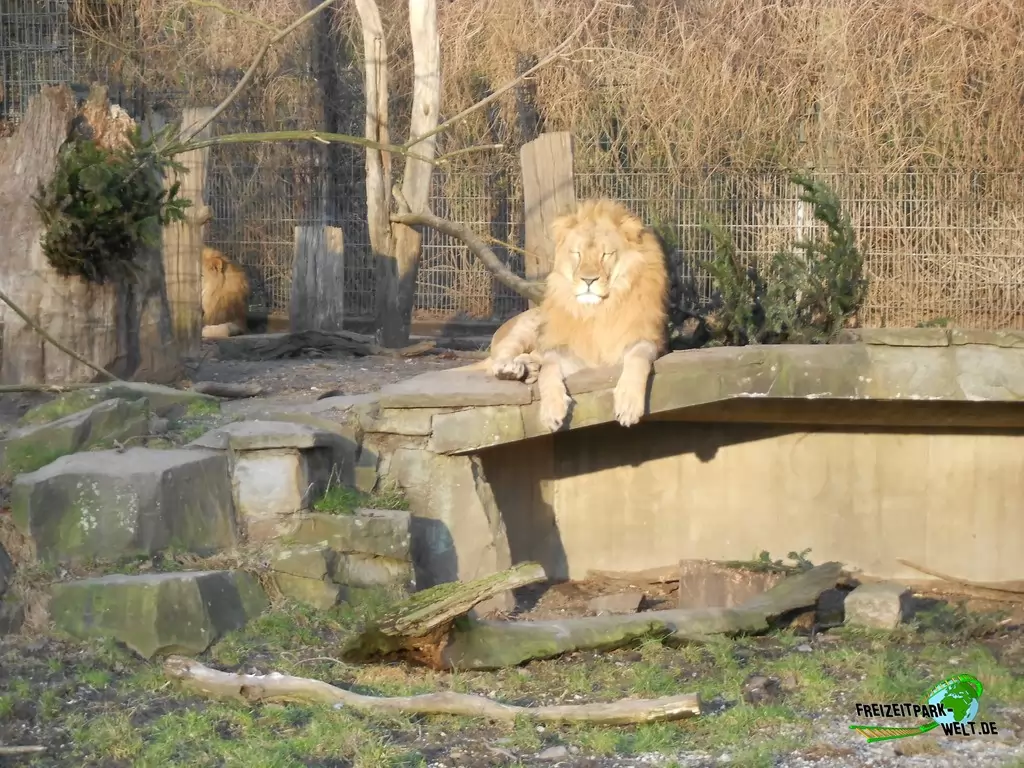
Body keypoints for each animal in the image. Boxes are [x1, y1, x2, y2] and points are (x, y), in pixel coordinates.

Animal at [464, 198, 670, 432]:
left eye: (606, 254)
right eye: (577, 254)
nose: (588, 280)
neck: (598, 311)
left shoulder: (646, 339)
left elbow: (637, 359)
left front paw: (628, 404)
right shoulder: (568, 351)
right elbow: (549, 367)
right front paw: (551, 410)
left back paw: (529, 368)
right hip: (524, 328)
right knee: (498, 361)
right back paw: (513, 369)